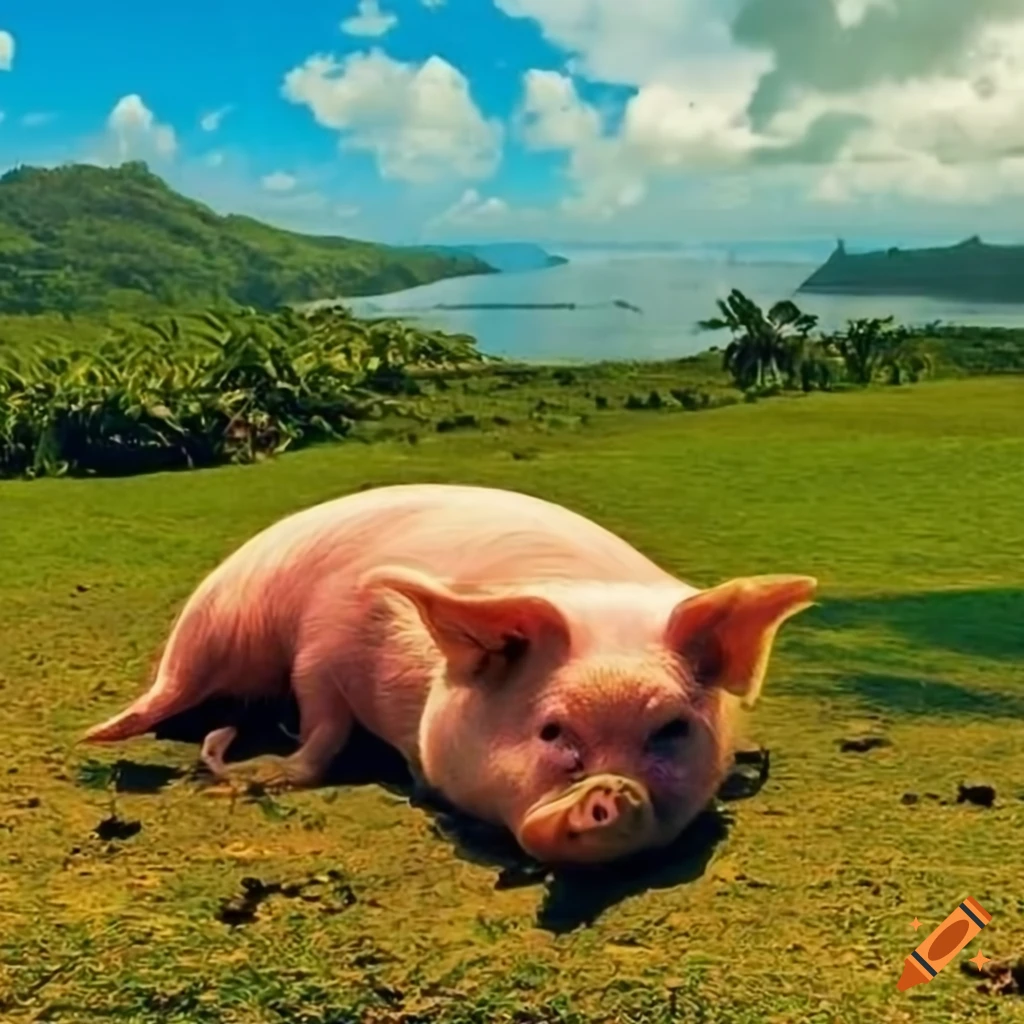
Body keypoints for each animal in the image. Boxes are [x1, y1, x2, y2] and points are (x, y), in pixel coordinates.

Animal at [84, 483, 816, 865]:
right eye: (551, 731)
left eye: (671, 730)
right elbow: (322, 729)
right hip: (218, 632)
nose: (611, 794)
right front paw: (268, 778)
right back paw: (99, 738)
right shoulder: (323, 647)